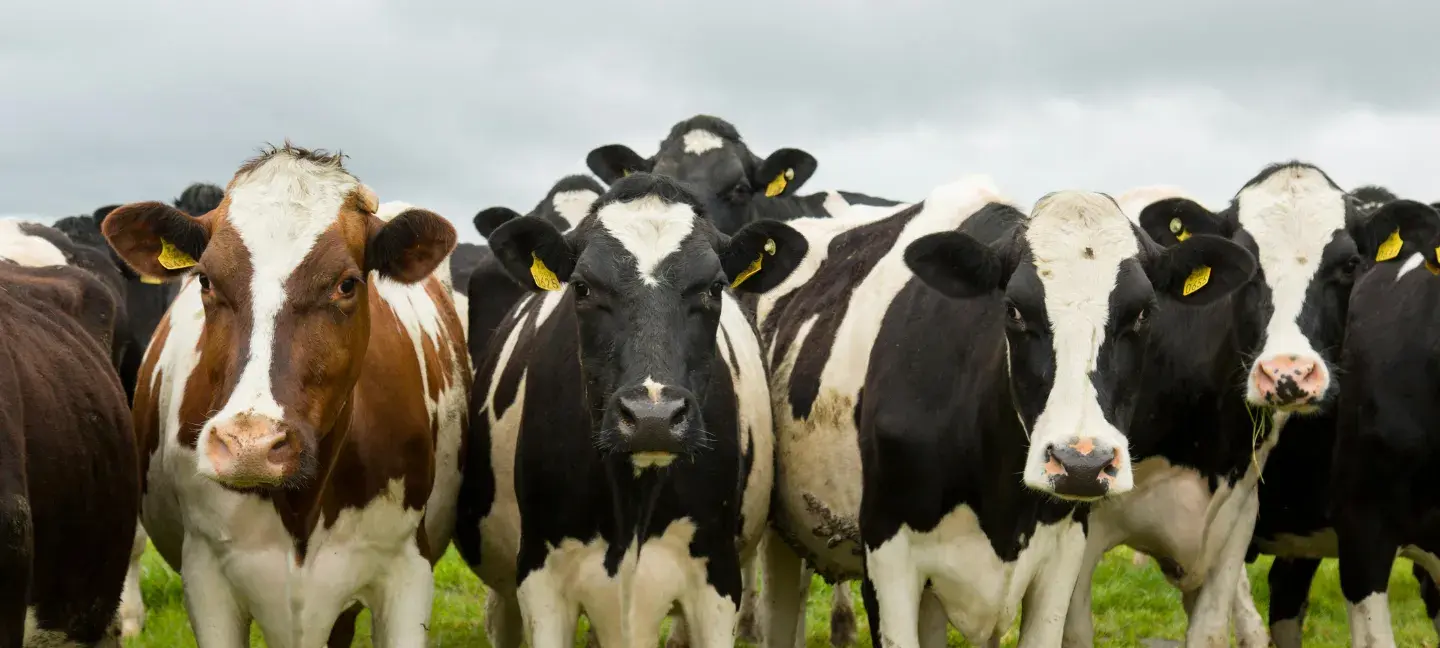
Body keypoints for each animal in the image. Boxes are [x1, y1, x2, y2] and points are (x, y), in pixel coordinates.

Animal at [99, 143, 470, 646]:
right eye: (206, 280)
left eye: (346, 283)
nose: (250, 446)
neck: (302, 504)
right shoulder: (206, 576)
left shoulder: (408, 570)